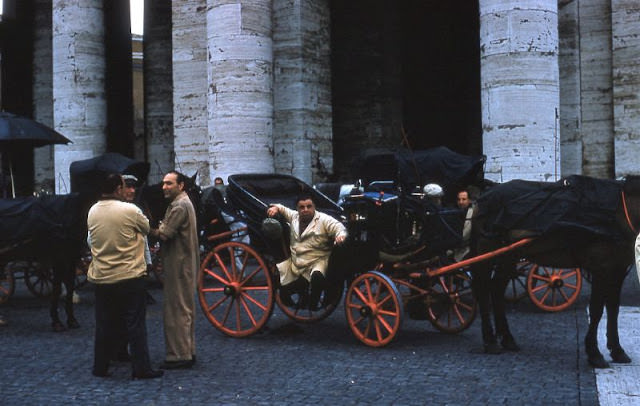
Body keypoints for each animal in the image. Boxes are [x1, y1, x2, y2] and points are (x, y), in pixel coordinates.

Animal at [0, 193, 90, 330]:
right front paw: (57, 322)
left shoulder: (71, 257)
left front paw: (71, 320)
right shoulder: (58, 258)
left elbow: (69, 286)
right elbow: (57, 288)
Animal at [468, 174, 636, 368]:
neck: (619, 212)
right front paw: (594, 353)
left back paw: (508, 339)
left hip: (509, 255)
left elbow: (613, 309)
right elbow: (596, 310)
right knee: (482, 289)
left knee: (496, 289)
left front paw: (617, 350)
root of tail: (484, 195)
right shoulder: (601, 269)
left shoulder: (617, 270)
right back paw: (490, 341)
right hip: (487, 250)